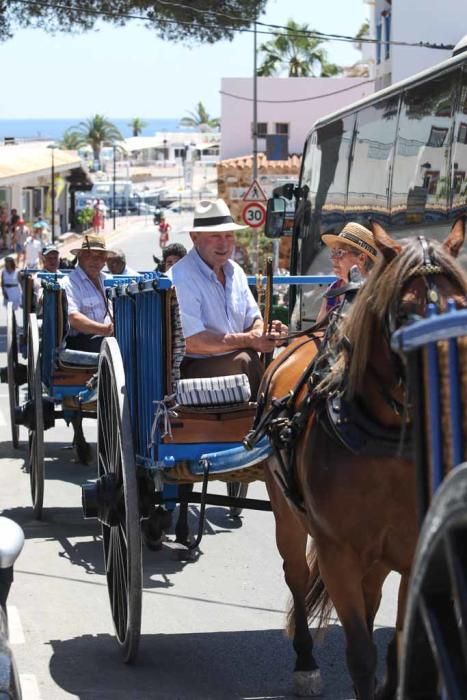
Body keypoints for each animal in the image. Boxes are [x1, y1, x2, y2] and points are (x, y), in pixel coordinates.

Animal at [258, 220, 467, 700]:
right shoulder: (338, 551)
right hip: (287, 513)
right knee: (296, 574)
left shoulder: (412, 550)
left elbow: (399, 644)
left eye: (460, 306)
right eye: (405, 313)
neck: (384, 440)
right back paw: (305, 661)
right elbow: (360, 652)